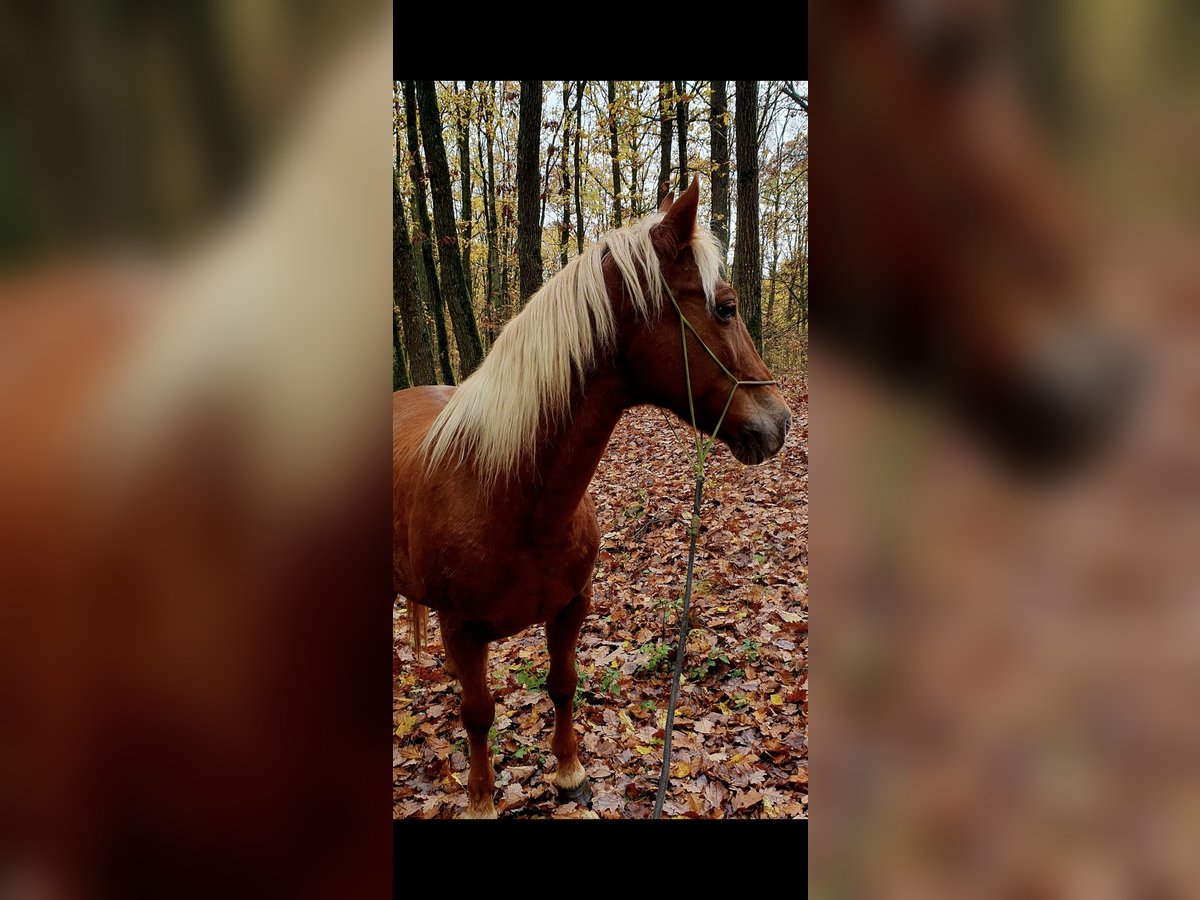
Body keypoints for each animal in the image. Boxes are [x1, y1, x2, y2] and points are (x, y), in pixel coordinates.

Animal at [388, 180, 792, 820]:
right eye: (725, 307)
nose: (780, 423)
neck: (509, 496)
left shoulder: (570, 608)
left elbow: (563, 684)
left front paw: (570, 774)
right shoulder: (463, 633)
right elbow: (478, 715)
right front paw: (481, 801)